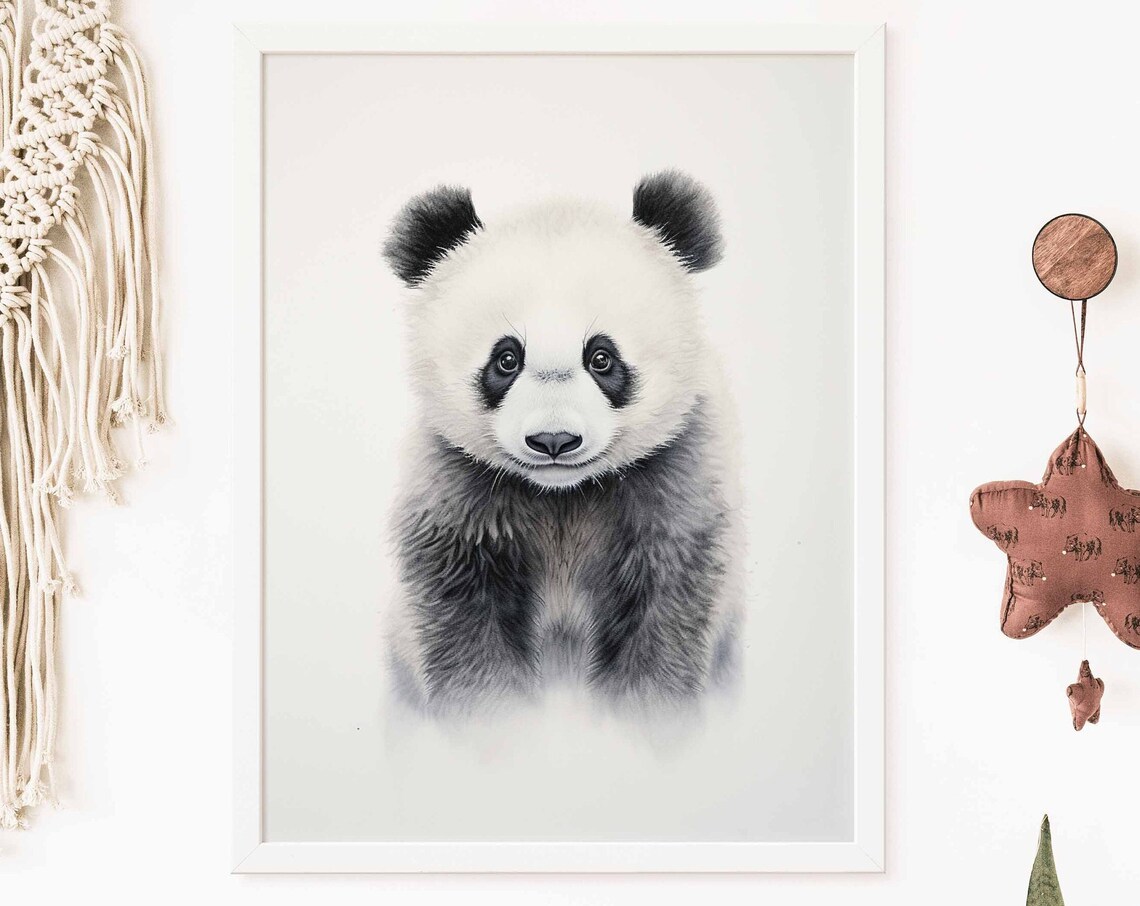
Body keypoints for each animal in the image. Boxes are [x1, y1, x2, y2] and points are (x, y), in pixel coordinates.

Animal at [382, 171, 743, 712]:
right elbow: (465, 626)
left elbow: (663, 613)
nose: (554, 440)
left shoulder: (675, 485)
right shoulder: (456, 495)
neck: (562, 498)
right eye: (506, 359)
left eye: (602, 358)